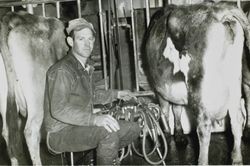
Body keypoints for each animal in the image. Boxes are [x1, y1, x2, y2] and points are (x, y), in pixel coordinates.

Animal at [144, 1, 250, 165]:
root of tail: (219, 10)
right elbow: (176, 109)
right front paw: (179, 135)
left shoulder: (159, 90)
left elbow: (165, 112)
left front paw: (167, 137)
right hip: (234, 85)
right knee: (236, 121)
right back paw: (237, 159)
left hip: (198, 88)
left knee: (203, 128)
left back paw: (202, 161)